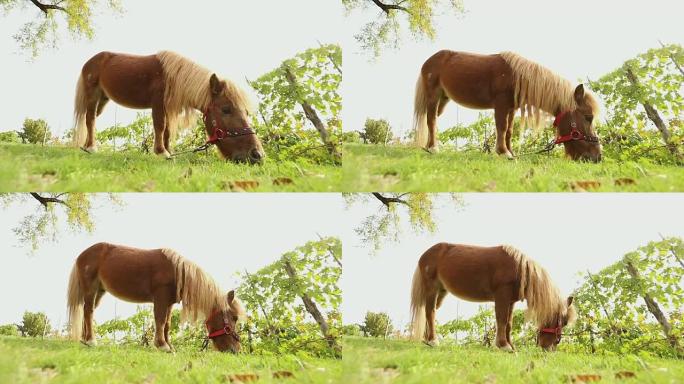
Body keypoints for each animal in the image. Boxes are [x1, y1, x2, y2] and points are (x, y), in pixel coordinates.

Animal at [66, 243, 246, 354]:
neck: (177, 272)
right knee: (88, 311)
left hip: (100, 292)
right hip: (91, 289)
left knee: (87, 312)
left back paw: (85, 339)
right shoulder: (160, 299)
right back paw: (91, 341)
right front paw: (162, 345)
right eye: (234, 318)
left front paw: (170, 346)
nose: (236, 350)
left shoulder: (169, 303)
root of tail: (82, 254)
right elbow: (160, 320)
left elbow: (167, 324)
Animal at [71, 50, 264, 163]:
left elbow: (168, 131)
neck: (171, 77)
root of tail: (91, 61)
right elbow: (160, 125)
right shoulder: (158, 103)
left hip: (103, 100)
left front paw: (169, 151)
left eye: (246, 112)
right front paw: (161, 152)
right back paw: (91, 147)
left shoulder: (168, 108)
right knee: (90, 119)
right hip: (92, 96)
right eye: (226, 109)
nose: (257, 155)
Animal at [412, 243, 576, 352]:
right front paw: (504, 346)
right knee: (430, 312)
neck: (519, 269)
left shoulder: (511, 301)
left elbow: (509, 323)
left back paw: (426, 340)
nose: (549, 348)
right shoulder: (502, 296)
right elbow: (502, 320)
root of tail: (425, 254)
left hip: (441, 292)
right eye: (563, 321)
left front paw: (511, 346)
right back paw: (433, 341)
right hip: (432, 289)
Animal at [414, 50, 600, 162]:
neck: (517, 77)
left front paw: (511, 153)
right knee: (431, 120)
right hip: (433, 96)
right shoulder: (501, 105)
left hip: (444, 100)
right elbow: (502, 128)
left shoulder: (512, 108)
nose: (598, 157)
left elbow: (509, 131)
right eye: (588, 117)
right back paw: (433, 148)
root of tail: (430, 60)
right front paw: (503, 152)